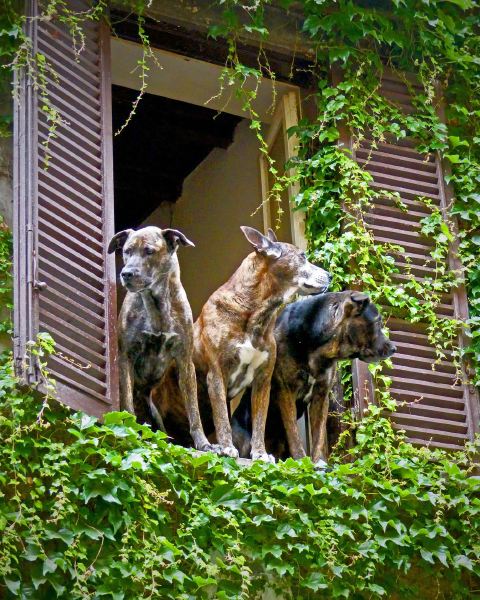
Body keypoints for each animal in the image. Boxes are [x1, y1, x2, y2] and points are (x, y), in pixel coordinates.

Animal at [109, 225, 216, 450]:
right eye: (126, 251)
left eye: (149, 251)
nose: (126, 273)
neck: (156, 303)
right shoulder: (126, 357)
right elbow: (126, 403)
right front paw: (128, 429)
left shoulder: (185, 362)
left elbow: (193, 410)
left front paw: (203, 443)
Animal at [231, 290, 396, 464]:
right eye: (377, 322)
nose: (394, 348)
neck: (318, 347)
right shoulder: (286, 390)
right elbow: (293, 432)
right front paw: (300, 459)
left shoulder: (321, 395)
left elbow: (318, 435)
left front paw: (316, 462)